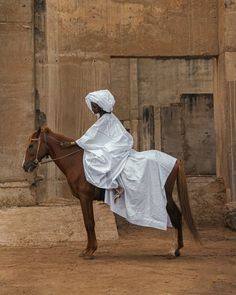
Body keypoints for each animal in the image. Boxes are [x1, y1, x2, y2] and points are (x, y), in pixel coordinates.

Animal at [22, 127, 199, 260]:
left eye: (31, 145)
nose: (25, 166)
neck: (78, 163)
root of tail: (175, 161)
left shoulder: (85, 198)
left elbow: (89, 223)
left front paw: (90, 250)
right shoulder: (85, 199)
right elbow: (89, 223)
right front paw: (88, 249)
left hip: (165, 197)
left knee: (175, 216)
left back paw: (173, 250)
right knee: (177, 215)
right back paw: (177, 249)